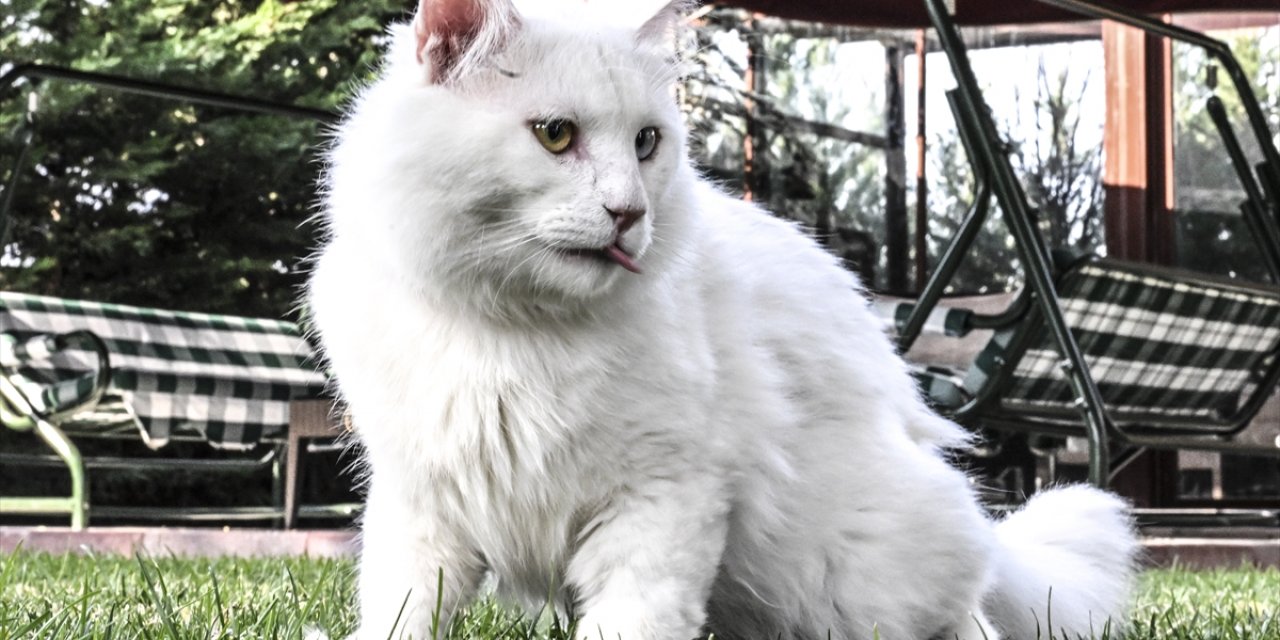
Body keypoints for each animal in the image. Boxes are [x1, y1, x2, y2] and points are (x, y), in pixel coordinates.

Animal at [309, 2, 1141, 637]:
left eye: (647, 143)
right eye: (555, 135)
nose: (628, 213)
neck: (513, 332)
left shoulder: (663, 502)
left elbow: (633, 621)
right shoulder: (421, 506)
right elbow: (400, 611)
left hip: (861, 577)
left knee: (967, 622)